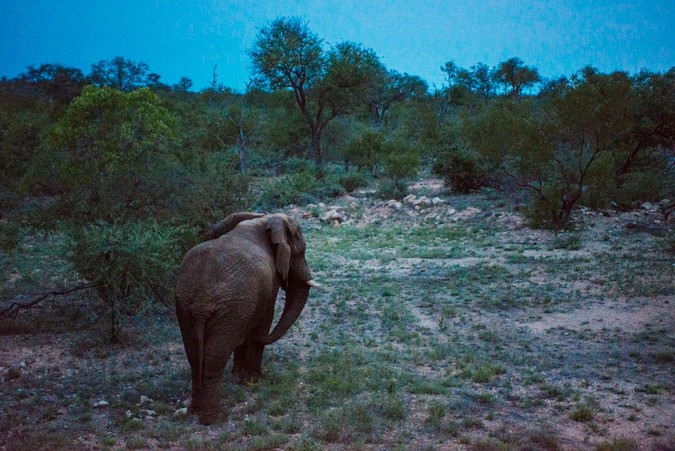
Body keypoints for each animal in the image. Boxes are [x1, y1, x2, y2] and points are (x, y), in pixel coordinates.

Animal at [176, 214, 320, 426]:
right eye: (301, 251)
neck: (263, 219)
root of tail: (203, 298)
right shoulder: (268, 285)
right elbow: (265, 317)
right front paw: (255, 380)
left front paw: (239, 376)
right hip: (229, 305)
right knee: (214, 355)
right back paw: (214, 418)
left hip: (187, 304)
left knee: (194, 352)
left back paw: (196, 410)